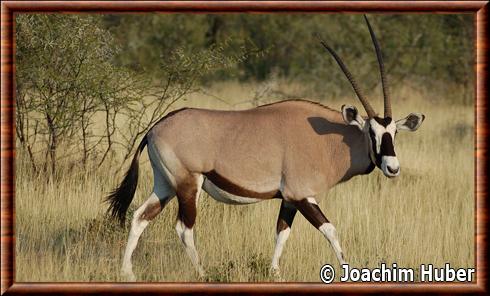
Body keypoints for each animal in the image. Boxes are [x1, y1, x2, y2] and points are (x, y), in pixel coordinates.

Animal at [107, 15, 424, 280]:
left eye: (394, 132)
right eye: (371, 132)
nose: (393, 167)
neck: (328, 140)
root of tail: (154, 128)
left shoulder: (289, 199)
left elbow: (281, 233)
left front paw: (274, 273)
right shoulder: (302, 195)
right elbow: (330, 230)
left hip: (165, 184)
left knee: (140, 217)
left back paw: (127, 273)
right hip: (188, 185)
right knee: (184, 229)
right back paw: (203, 273)